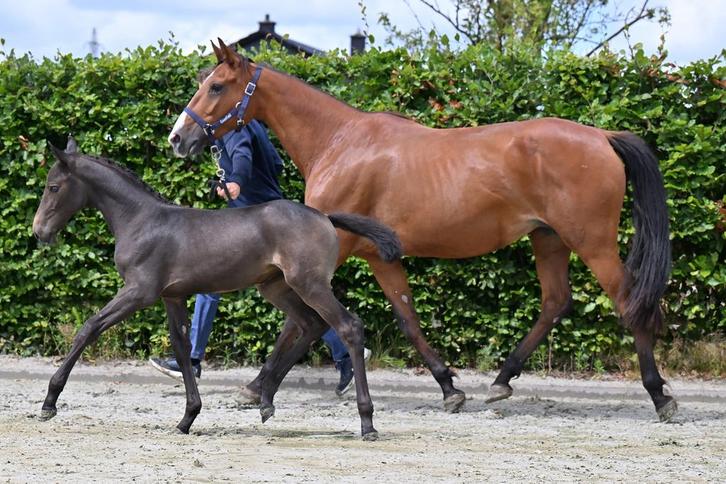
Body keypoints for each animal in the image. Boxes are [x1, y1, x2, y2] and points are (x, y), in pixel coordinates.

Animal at [32, 137, 403, 440]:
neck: (140, 220)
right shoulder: (172, 296)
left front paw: (49, 401)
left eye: (53, 187)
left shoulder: (139, 291)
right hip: (276, 288)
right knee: (311, 324)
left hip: (308, 284)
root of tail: (325, 217)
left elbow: (89, 327)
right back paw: (265, 400)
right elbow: (182, 349)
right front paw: (187, 418)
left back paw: (367, 423)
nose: (39, 232)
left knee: (348, 326)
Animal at [168, 39, 676, 422]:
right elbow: (407, 319)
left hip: (592, 242)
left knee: (627, 300)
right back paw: (501, 381)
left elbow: (303, 321)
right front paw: (449, 386)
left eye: (216, 86)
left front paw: (259, 386)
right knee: (555, 302)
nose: (177, 139)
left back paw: (659, 395)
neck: (340, 141)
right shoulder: (379, 256)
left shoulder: (325, 256)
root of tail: (602, 136)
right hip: (547, 238)